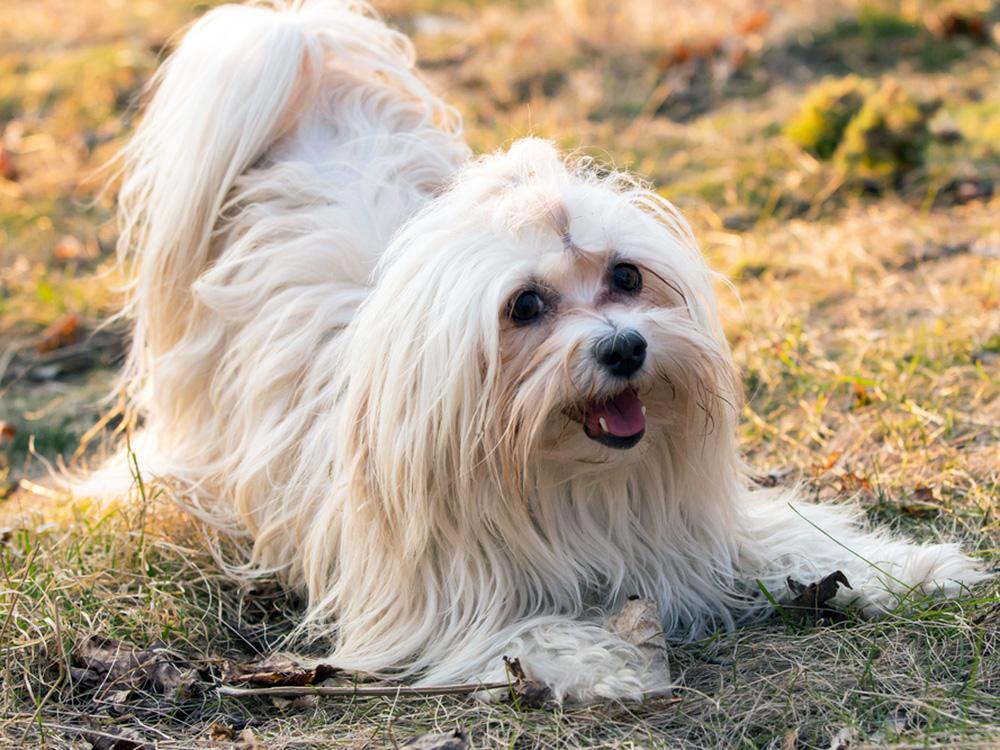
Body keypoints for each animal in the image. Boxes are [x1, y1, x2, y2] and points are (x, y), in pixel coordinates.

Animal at [92, 0, 984, 704]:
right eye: (525, 305)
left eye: (626, 275)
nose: (624, 347)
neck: (568, 481)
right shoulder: (434, 603)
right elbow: (526, 631)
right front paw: (605, 660)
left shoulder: (702, 531)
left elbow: (806, 541)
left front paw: (919, 568)